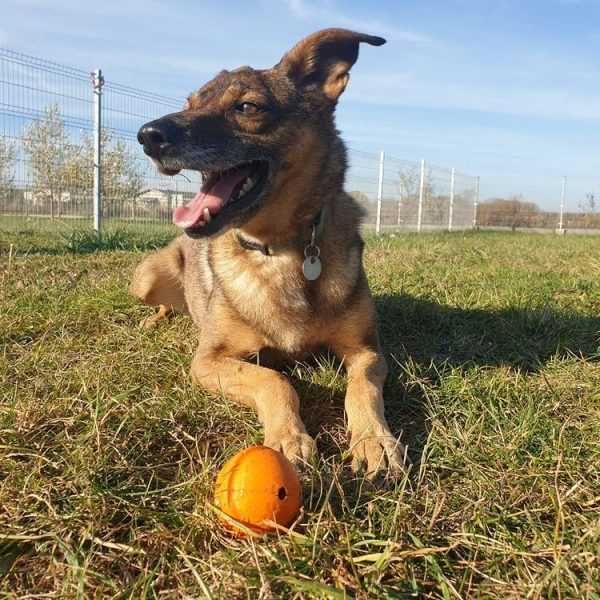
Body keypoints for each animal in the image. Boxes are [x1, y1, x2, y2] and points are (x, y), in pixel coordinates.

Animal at [131, 28, 404, 478]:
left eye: (247, 107)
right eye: (189, 103)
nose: (147, 135)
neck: (280, 251)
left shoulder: (367, 351)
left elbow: (362, 388)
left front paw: (373, 440)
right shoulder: (208, 360)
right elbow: (275, 380)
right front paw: (288, 438)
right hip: (147, 278)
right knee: (167, 305)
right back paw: (155, 321)